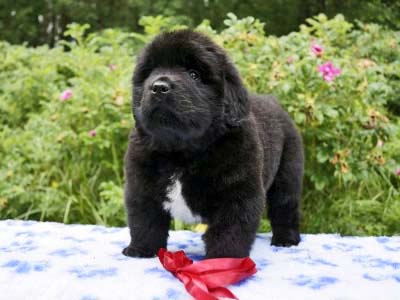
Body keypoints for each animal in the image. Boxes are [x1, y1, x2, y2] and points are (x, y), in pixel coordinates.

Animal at [122, 29, 304, 258]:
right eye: (150, 73)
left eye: (194, 74)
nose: (158, 87)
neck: (180, 152)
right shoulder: (142, 188)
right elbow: (145, 223)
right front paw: (141, 250)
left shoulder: (236, 195)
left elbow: (229, 231)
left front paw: (223, 259)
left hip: (288, 175)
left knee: (285, 208)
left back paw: (286, 239)